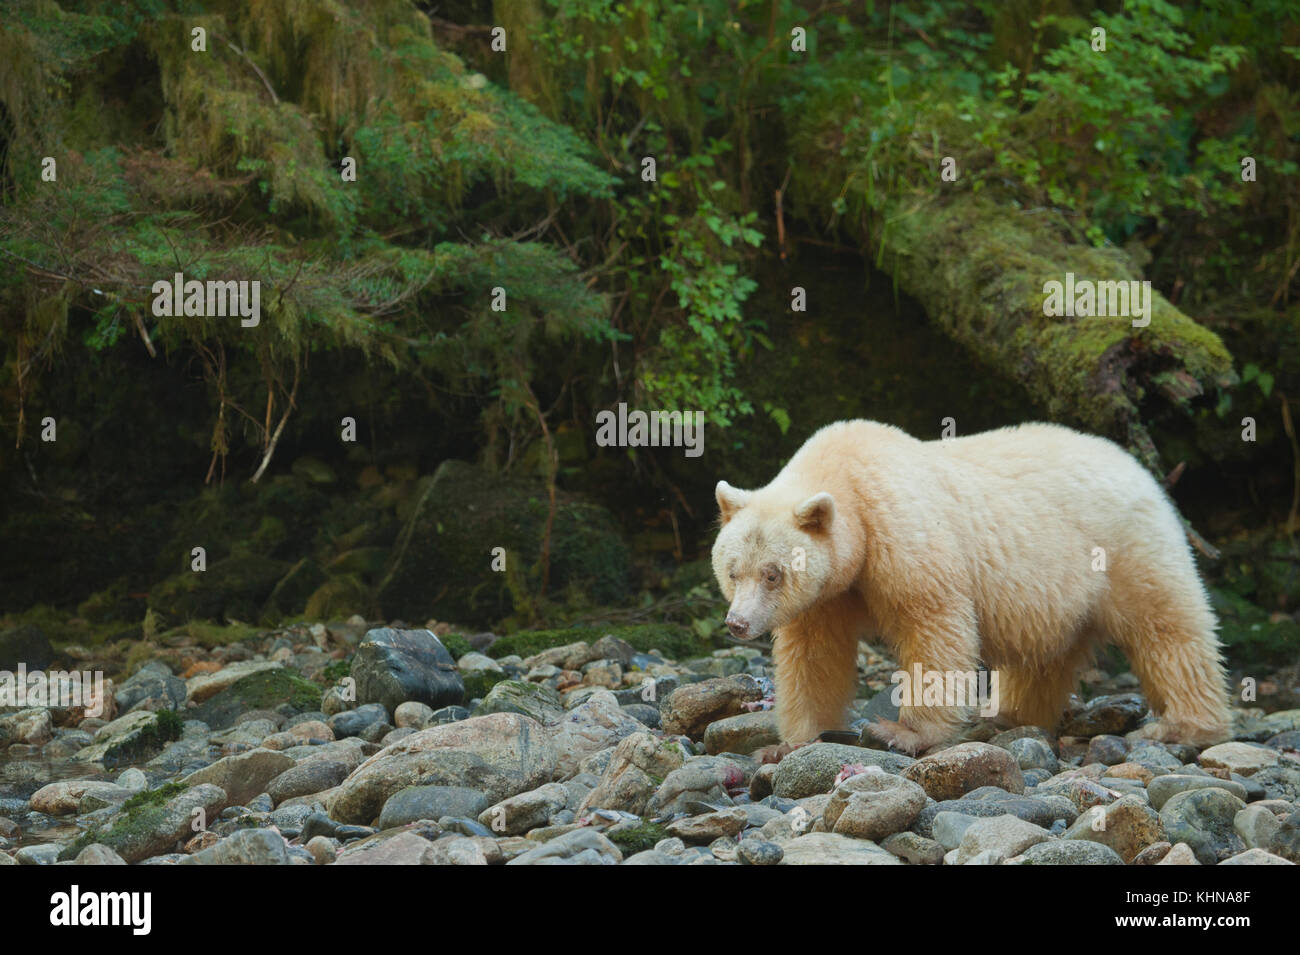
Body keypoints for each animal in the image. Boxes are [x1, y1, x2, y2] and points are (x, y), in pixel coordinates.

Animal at [717, 418, 1232, 753]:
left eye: (772, 573)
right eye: (731, 570)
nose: (738, 623)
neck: (848, 478)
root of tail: (1141, 471)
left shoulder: (901, 532)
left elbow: (934, 624)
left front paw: (900, 732)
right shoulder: (830, 591)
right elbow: (814, 653)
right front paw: (794, 741)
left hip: (1125, 547)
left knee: (1168, 627)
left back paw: (1183, 726)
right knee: (1045, 653)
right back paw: (1012, 714)